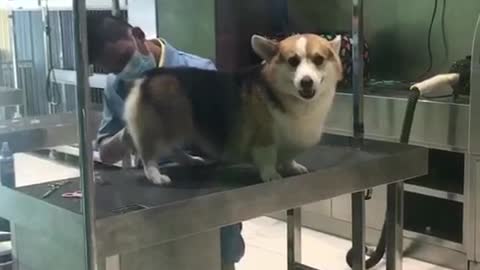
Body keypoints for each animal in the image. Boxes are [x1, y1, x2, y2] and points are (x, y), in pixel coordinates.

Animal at [124, 33, 342, 185]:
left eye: (319, 59)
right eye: (293, 61)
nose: (306, 82)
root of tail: (147, 77)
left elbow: (289, 158)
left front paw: (293, 167)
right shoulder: (264, 138)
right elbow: (267, 157)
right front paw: (271, 175)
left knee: (174, 149)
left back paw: (191, 160)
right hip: (163, 127)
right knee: (149, 154)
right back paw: (156, 176)